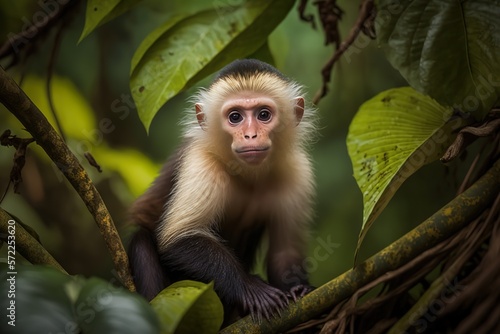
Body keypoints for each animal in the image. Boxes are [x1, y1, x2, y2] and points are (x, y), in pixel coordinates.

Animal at [129, 58, 316, 320]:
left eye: (264, 115)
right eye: (235, 117)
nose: (250, 135)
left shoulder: (297, 169)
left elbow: (284, 253)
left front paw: (300, 290)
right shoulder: (202, 162)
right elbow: (180, 238)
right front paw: (251, 288)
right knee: (142, 243)